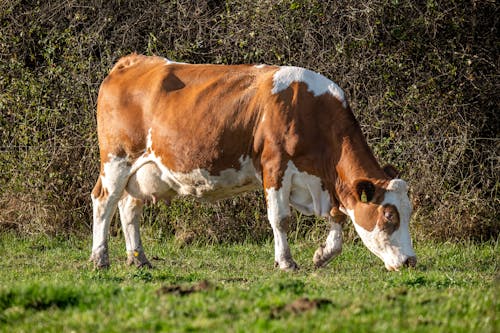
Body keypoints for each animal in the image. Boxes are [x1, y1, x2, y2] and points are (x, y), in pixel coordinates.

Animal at [91, 53, 418, 270]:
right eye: (389, 216)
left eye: (408, 212)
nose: (410, 261)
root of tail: (133, 61)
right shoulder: (274, 166)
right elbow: (280, 218)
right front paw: (286, 262)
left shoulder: (324, 182)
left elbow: (337, 217)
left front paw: (322, 254)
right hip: (117, 159)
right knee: (104, 201)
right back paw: (100, 258)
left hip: (142, 171)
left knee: (129, 207)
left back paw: (139, 260)